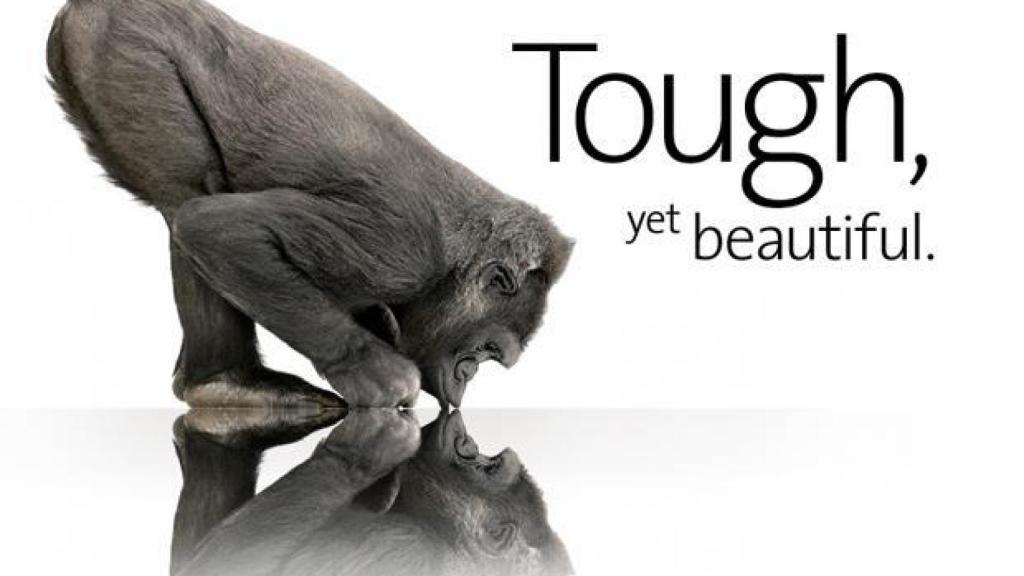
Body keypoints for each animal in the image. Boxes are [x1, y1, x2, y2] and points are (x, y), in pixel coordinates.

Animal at [46, 0, 573, 409]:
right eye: (484, 351)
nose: (464, 385)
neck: (453, 261)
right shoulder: (402, 250)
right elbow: (218, 231)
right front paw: (370, 369)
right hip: (126, 48)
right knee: (188, 201)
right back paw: (224, 383)